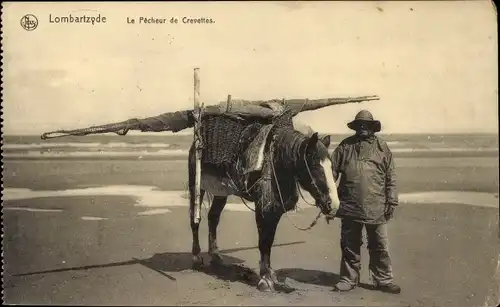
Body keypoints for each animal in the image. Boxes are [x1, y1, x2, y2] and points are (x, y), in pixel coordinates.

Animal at [188, 125, 340, 294]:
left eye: (331, 166)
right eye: (315, 166)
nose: (333, 204)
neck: (276, 163)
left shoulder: (275, 210)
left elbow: (270, 241)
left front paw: (270, 273)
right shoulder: (262, 209)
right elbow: (263, 241)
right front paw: (265, 279)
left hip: (221, 191)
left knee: (213, 217)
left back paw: (215, 255)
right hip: (196, 185)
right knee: (195, 219)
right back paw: (196, 257)